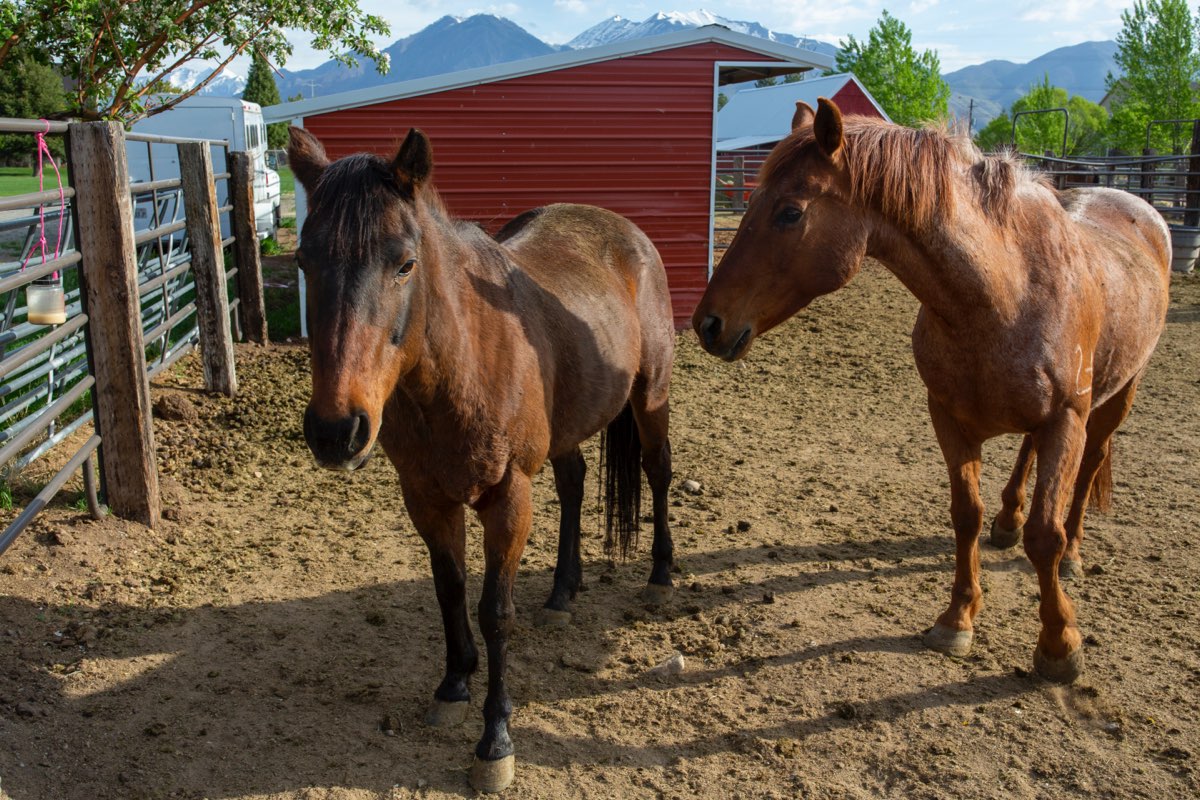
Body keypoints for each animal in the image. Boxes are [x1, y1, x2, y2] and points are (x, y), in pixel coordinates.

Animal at [283, 126, 676, 796]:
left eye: (404, 263)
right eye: (306, 262)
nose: (337, 430)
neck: (459, 365)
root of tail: (629, 234)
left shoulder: (507, 499)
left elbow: (495, 612)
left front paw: (495, 740)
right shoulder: (426, 496)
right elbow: (450, 590)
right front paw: (452, 685)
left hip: (650, 399)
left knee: (658, 471)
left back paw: (661, 576)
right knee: (574, 484)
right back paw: (563, 594)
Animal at [696, 100, 1171, 686]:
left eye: (789, 212)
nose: (707, 323)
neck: (1006, 294)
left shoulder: (1065, 419)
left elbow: (1046, 535)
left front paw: (1060, 644)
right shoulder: (948, 417)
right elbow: (965, 514)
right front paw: (957, 618)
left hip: (1114, 398)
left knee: (1089, 468)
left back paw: (1075, 553)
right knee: (1027, 453)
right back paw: (1008, 520)